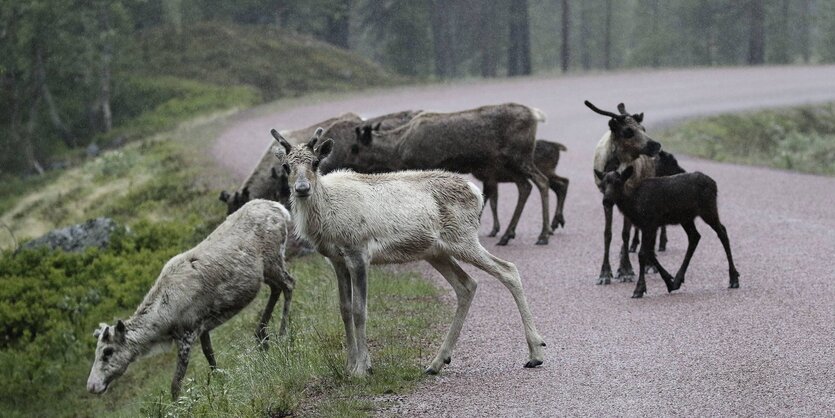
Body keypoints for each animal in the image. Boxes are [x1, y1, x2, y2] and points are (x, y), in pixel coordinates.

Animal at [596, 165, 740, 298]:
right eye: (603, 184)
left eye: (618, 182)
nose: (606, 201)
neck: (633, 204)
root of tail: (714, 184)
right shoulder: (647, 226)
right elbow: (649, 253)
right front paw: (668, 281)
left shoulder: (650, 223)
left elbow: (643, 254)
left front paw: (639, 289)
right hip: (686, 218)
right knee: (695, 236)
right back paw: (678, 279)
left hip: (708, 209)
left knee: (722, 232)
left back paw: (734, 279)